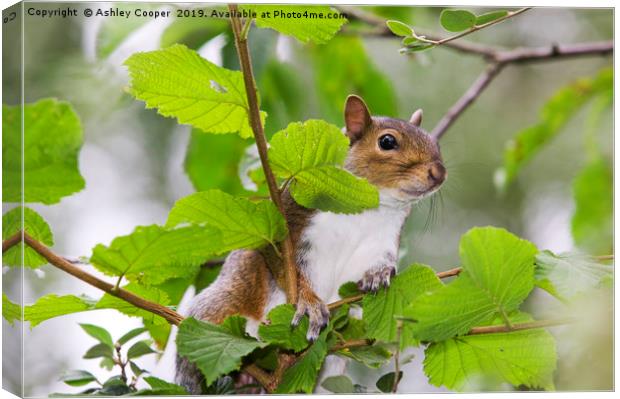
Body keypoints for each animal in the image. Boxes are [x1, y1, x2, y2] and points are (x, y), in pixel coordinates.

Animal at [174, 94, 446, 394]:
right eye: (387, 142)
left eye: (436, 144)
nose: (439, 172)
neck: (370, 208)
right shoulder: (290, 222)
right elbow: (285, 266)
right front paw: (309, 303)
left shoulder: (382, 240)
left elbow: (378, 263)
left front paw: (380, 273)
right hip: (217, 308)